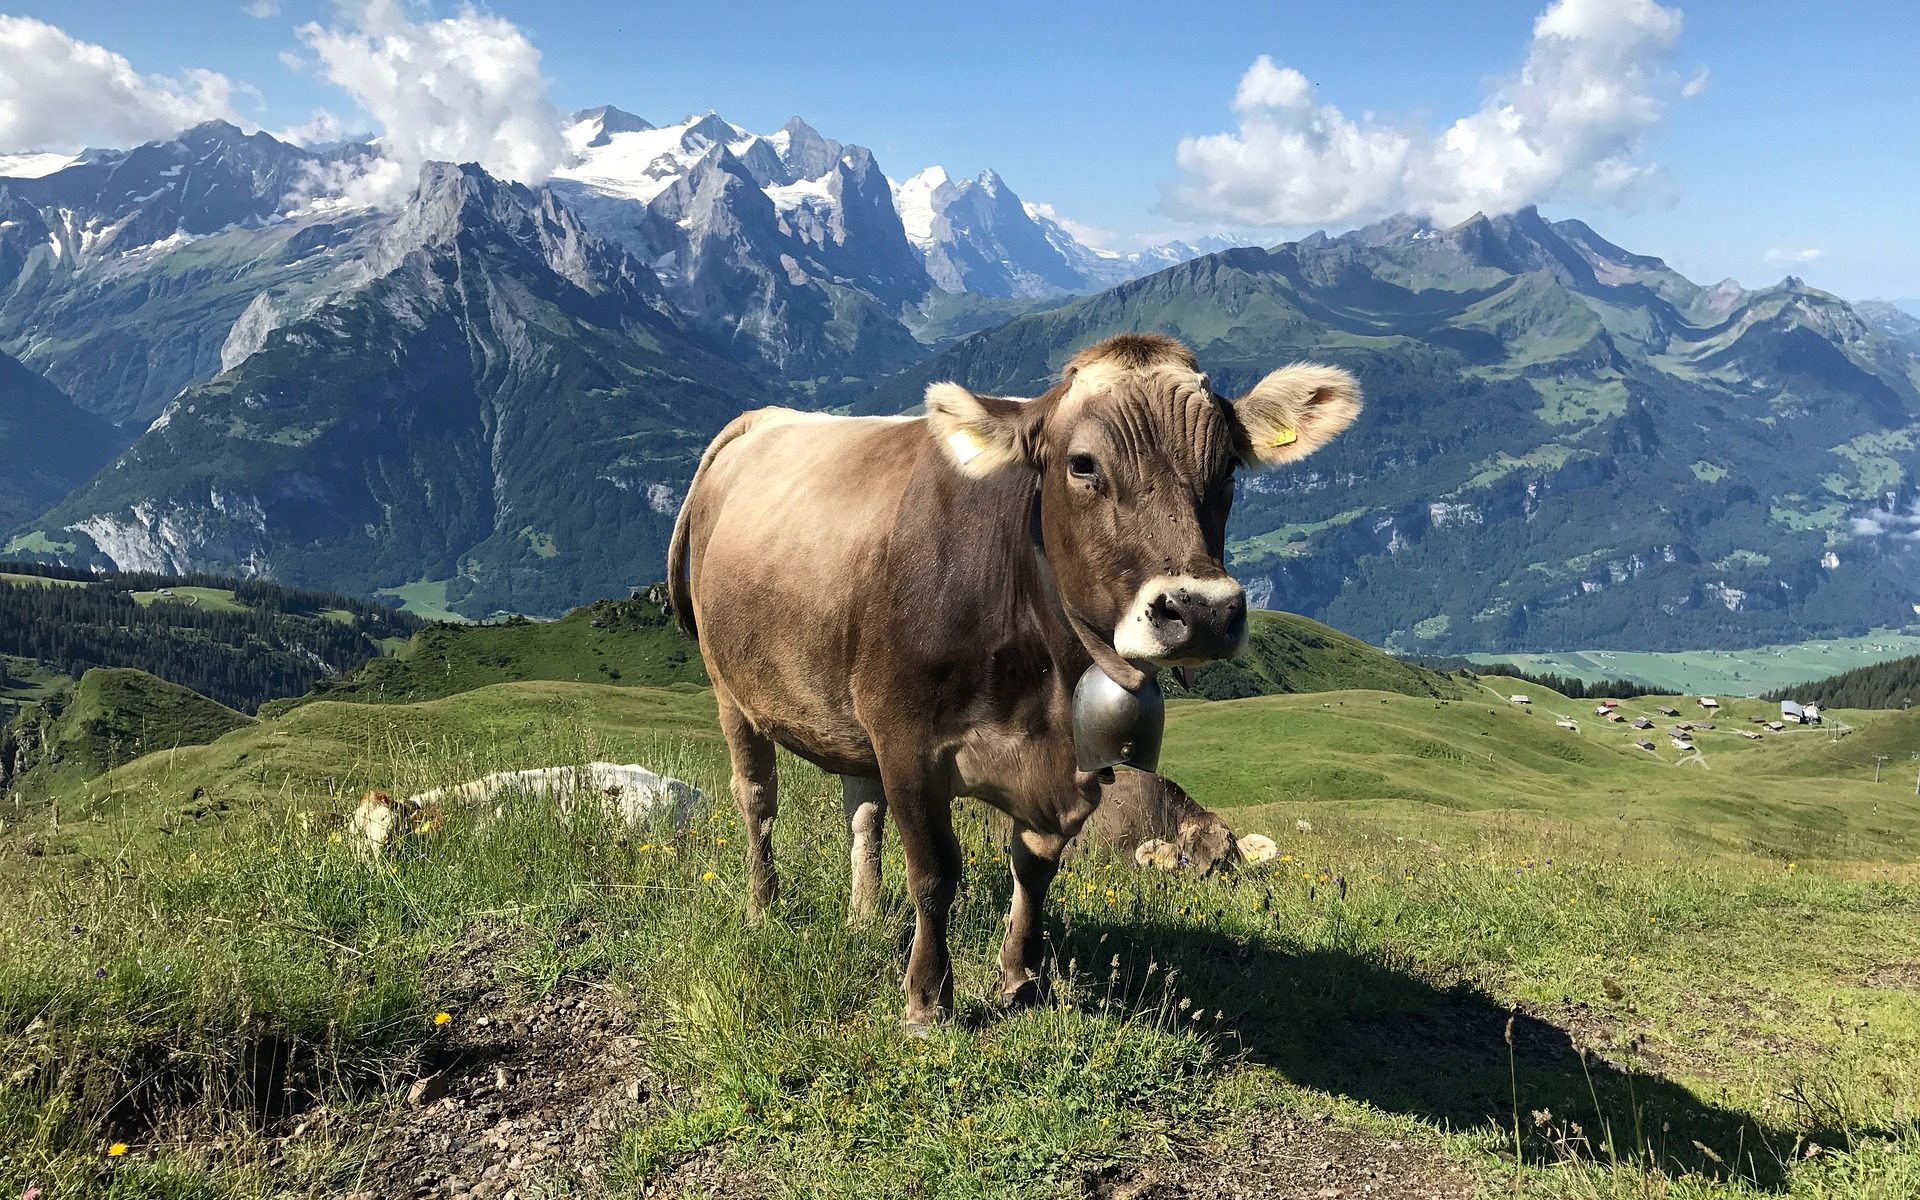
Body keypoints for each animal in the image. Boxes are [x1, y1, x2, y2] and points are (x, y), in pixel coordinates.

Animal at [667, 332, 1360, 1030]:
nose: (1203, 612)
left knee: (861, 810)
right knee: (757, 799)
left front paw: (1022, 979)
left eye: (1228, 470)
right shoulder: (906, 739)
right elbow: (935, 869)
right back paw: (764, 908)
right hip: (733, 691)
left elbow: (1034, 867)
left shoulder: (1070, 764)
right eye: (1082, 464)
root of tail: (759, 420)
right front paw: (927, 999)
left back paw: (864, 918)